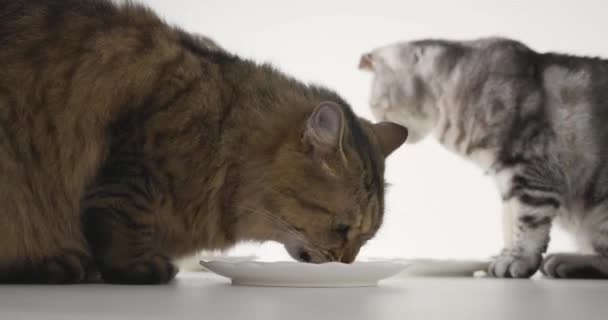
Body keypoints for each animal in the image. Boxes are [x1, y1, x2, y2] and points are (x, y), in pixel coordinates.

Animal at [1, 0, 408, 284]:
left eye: (366, 238)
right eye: (342, 228)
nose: (346, 263)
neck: (224, 129)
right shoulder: (134, 157)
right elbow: (123, 220)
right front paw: (137, 265)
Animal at [358, 37, 608, 278]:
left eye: (375, 105)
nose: (378, 124)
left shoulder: (531, 167)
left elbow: (528, 222)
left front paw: (520, 260)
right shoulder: (507, 181)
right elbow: (509, 225)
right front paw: (505, 257)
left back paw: (566, 261)